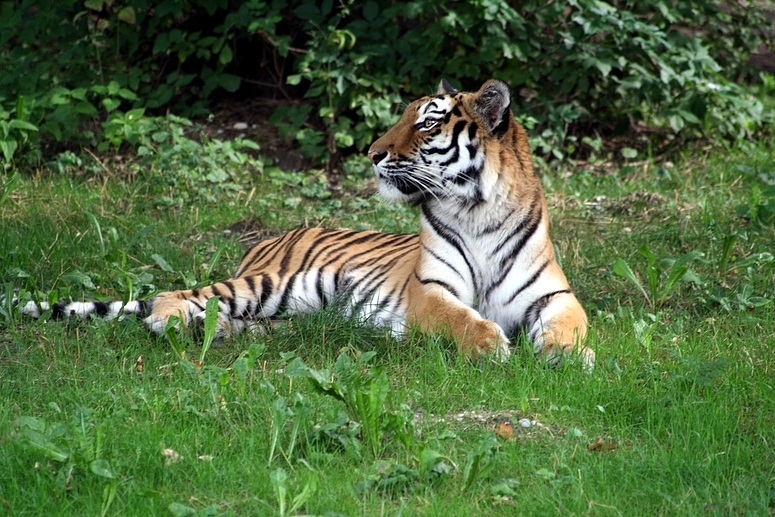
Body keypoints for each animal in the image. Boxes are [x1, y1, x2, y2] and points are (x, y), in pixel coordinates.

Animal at [15, 77, 596, 366]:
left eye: (426, 123)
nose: (372, 153)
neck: (477, 209)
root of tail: (269, 238)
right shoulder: (430, 291)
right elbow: (460, 318)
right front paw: (491, 345)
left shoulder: (553, 295)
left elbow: (572, 323)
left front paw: (566, 354)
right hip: (272, 282)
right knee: (172, 297)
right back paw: (175, 322)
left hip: (296, 306)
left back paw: (220, 331)